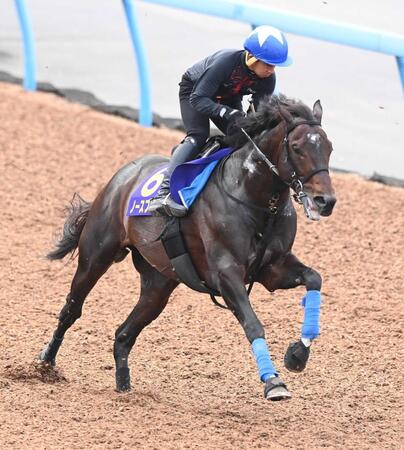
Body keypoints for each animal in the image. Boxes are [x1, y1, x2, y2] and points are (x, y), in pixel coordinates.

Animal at [38, 95, 334, 400]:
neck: (252, 197)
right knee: (72, 309)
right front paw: (273, 382)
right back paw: (46, 363)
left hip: (159, 283)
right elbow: (253, 323)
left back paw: (124, 387)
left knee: (124, 334)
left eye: (329, 148)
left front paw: (298, 354)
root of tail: (122, 176)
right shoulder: (226, 275)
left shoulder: (272, 269)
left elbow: (314, 278)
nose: (325, 201)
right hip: (96, 255)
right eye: (297, 148)